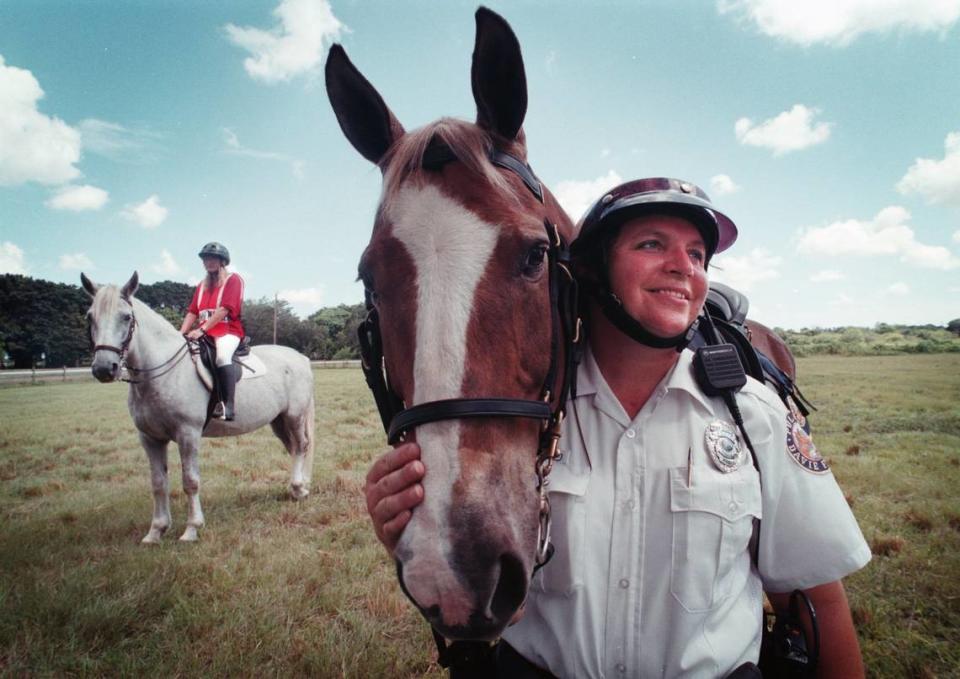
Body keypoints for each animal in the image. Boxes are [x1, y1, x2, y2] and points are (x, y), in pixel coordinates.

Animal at [82, 270, 316, 540]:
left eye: (126, 317)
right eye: (90, 317)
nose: (103, 368)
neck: (163, 373)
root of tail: (300, 357)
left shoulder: (188, 434)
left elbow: (190, 481)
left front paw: (192, 529)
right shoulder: (150, 438)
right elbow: (158, 483)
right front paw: (156, 530)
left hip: (294, 416)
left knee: (301, 445)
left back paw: (299, 488)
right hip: (278, 421)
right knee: (293, 447)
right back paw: (299, 487)